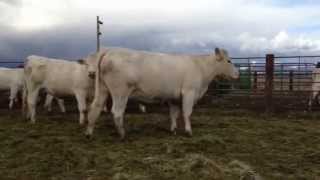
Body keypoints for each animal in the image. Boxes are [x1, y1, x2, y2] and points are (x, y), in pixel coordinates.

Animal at [84, 47, 239, 139]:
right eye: (229, 61)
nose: (237, 73)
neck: (201, 67)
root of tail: (110, 51)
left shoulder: (174, 97)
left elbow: (174, 114)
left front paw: (173, 130)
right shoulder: (189, 92)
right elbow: (187, 113)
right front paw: (188, 131)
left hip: (103, 89)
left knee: (95, 108)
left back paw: (89, 133)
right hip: (120, 91)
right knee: (116, 112)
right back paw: (122, 134)